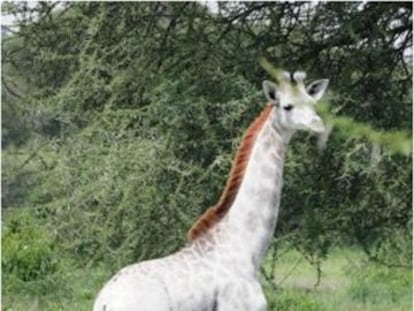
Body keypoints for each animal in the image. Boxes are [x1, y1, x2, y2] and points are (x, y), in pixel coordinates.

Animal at [93, 70, 330, 311]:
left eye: (313, 104)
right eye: (287, 106)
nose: (317, 124)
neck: (247, 248)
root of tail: (106, 301)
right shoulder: (237, 307)